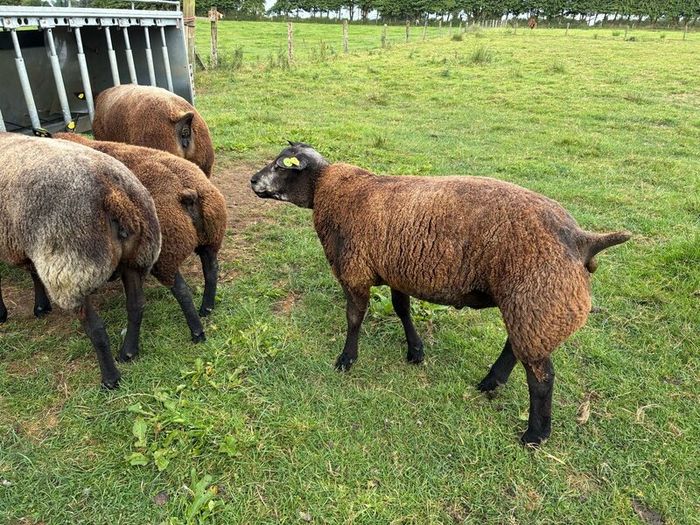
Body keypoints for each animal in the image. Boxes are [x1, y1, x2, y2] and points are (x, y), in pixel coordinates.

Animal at [0, 133, 161, 388]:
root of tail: (115, 192)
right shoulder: (27, 243)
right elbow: (33, 273)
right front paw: (40, 307)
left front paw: (2, 314)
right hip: (137, 256)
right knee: (136, 306)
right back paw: (128, 352)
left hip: (72, 268)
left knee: (96, 329)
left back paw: (110, 378)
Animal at [55, 133, 227, 343]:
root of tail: (187, 191)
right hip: (210, 239)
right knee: (211, 270)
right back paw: (206, 308)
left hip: (166, 252)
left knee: (181, 290)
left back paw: (196, 332)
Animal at [250, 142, 631, 446]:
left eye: (282, 165)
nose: (252, 180)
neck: (327, 188)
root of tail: (583, 240)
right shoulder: (396, 269)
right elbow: (402, 309)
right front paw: (415, 351)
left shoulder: (354, 270)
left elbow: (355, 318)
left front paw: (346, 359)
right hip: (529, 305)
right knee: (516, 347)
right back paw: (490, 382)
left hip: (538, 299)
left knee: (541, 377)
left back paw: (535, 435)